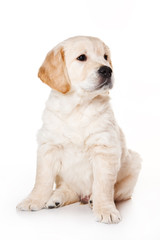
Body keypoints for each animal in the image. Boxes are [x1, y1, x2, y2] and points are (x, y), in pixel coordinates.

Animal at [16, 35, 141, 223]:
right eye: (82, 57)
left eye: (105, 57)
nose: (107, 70)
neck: (78, 107)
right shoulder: (48, 146)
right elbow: (42, 179)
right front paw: (33, 200)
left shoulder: (104, 149)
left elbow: (103, 185)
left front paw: (105, 209)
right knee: (70, 190)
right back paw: (55, 198)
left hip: (134, 164)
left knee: (116, 191)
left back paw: (92, 200)